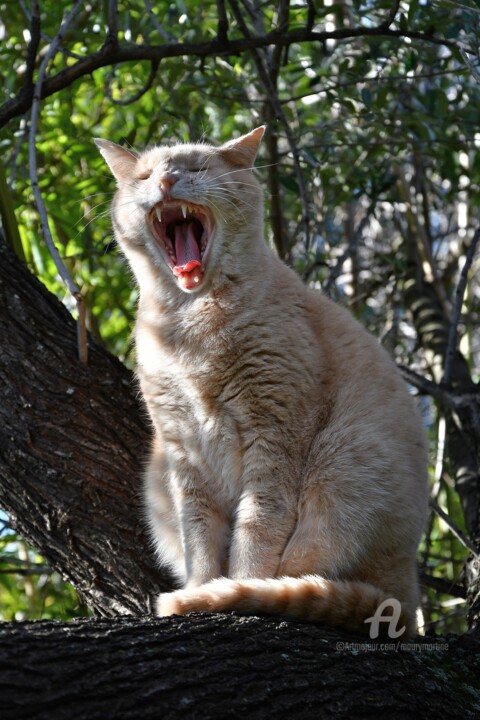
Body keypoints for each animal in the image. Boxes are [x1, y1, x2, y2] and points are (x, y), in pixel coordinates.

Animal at [94, 128, 428, 636]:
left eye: (196, 168)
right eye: (147, 176)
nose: (168, 182)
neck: (191, 323)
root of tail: (406, 592)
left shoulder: (273, 433)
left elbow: (257, 526)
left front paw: (232, 589)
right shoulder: (182, 450)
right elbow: (200, 535)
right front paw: (202, 588)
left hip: (343, 458)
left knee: (307, 573)